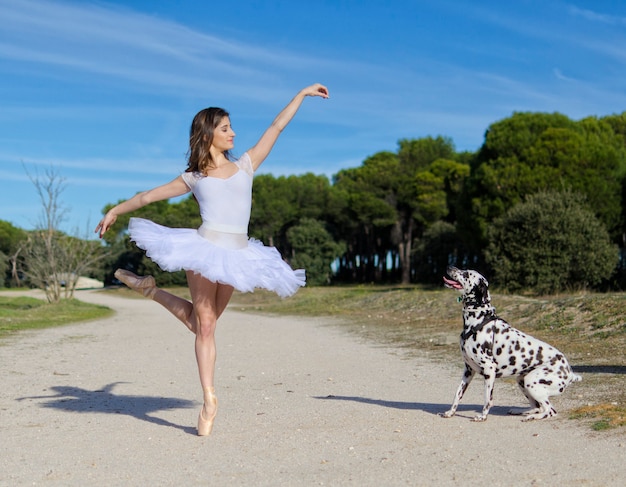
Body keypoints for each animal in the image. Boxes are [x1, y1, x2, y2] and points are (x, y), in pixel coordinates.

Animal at [438, 266, 580, 424]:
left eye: (466, 274)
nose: (450, 267)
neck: (477, 321)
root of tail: (570, 373)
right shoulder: (468, 370)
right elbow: (457, 394)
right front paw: (451, 412)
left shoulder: (489, 370)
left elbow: (487, 399)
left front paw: (483, 416)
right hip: (522, 381)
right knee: (538, 407)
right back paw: (521, 411)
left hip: (532, 382)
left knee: (550, 410)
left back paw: (532, 417)